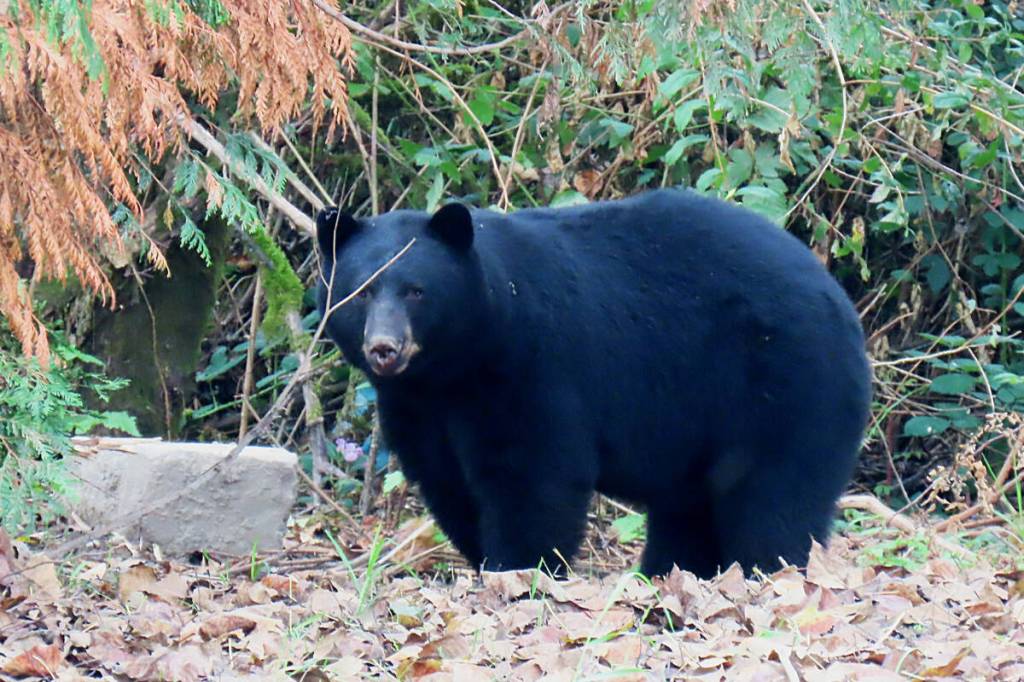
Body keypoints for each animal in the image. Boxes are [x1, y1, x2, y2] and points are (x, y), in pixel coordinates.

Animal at [316, 189, 871, 579]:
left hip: (785, 385)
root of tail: (839, 300)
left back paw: (767, 572)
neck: (456, 364)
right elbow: (446, 480)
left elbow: (530, 475)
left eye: (416, 291)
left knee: (774, 496)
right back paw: (673, 574)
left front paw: (520, 571)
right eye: (361, 292)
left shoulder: (531, 367)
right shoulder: (417, 406)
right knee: (691, 508)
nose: (385, 348)